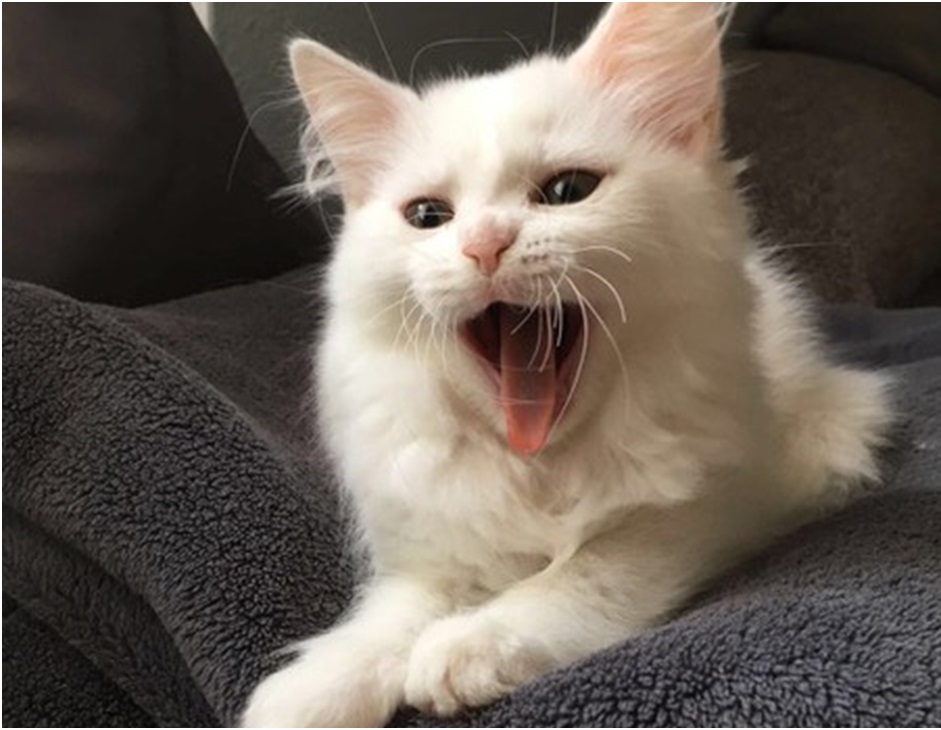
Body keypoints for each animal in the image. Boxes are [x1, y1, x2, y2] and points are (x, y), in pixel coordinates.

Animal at [242, 3, 891, 726]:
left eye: (566, 191)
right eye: (429, 216)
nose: (483, 245)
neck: (539, 467)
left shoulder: (707, 505)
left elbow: (581, 574)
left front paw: (467, 648)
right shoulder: (437, 541)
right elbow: (393, 617)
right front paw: (305, 692)